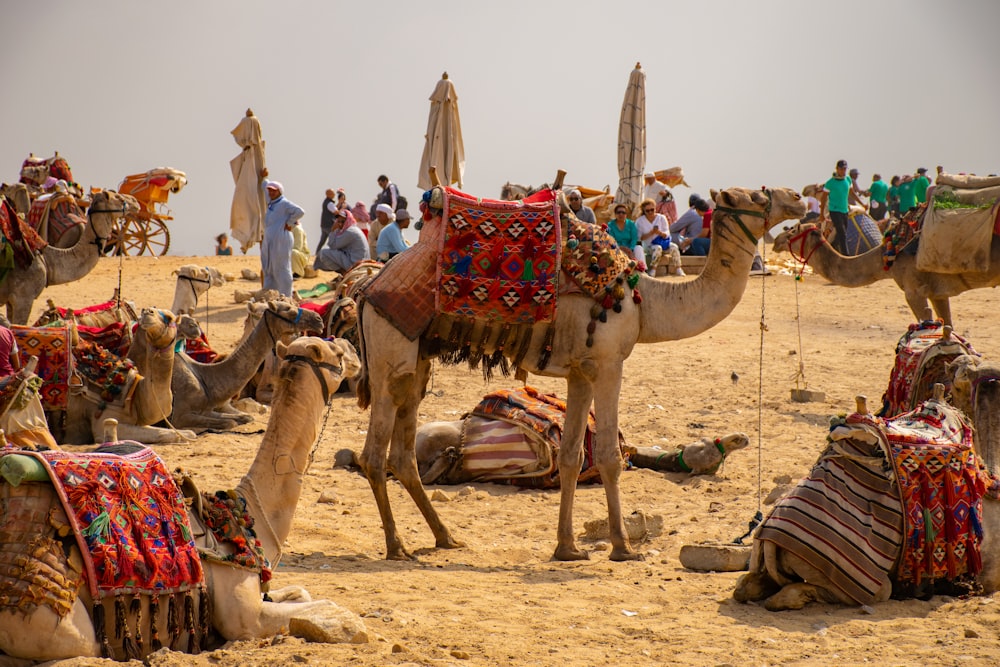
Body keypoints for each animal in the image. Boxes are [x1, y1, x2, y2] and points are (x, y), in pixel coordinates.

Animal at [0, 336, 366, 660]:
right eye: (336, 352)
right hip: (54, 618)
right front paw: (354, 628)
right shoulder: (244, 617)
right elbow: (330, 609)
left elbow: (302, 592)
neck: (248, 518)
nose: (356, 355)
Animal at [170, 300, 322, 430]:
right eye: (289, 310)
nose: (318, 319)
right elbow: (230, 422)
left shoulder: (207, 409)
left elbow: (245, 417)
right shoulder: (180, 416)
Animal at [772, 222, 1000, 328]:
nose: (776, 240)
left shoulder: (914, 290)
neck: (888, 258)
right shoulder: (938, 293)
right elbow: (949, 327)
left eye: (792, 231)